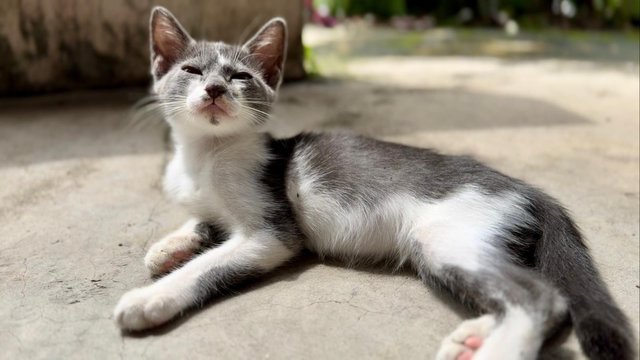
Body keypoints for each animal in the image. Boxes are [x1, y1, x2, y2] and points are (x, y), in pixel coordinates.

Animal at [115, 7, 636, 360]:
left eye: (241, 76)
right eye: (191, 70)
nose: (215, 89)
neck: (206, 154)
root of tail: (529, 190)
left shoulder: (274, 233)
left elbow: (211, 265)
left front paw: (151, 297)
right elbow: (203, 219)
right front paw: (168, 246)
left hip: (447, 234)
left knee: (542, 298)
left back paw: (497, 350)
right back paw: (472, 337)